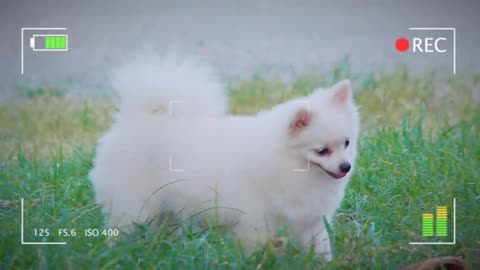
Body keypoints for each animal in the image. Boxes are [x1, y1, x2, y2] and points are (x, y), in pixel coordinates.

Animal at [90, 53, 360, 260]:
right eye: (322, 150)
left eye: (346, 143)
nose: (345, 166)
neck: (290, 164)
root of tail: (139, 117)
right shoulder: (254, 221)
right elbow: (254, 248)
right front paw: (257, 262)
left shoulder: (310, 219)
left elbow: (321, 246)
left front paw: (324, 263)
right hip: (135, 205)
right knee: (119, 229)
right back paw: (115, 254)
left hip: (165, 206)